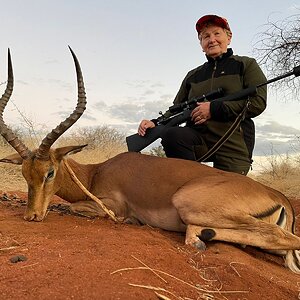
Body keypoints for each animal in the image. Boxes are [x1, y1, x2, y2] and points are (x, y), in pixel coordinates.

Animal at [0, 47, 300, 274]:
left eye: (50, 172)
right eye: (25, 174)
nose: (31, 216)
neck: (96, 173)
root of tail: (279, 197)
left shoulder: (113, 206)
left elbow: (73, 207)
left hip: (189, 203)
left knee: (282, 237)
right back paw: (203, 237)